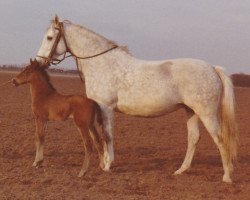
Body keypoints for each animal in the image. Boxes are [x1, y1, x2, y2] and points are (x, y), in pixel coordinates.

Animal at [35, 14, 238, 182]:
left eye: (50, 37)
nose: (38, 62)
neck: (102, 63)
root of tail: (212, 68)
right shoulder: (100, 109)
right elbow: (102, 136)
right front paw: (104, 163)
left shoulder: (106, 107)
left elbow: (107, 135)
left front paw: (108, 165)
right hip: (191, 111)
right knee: (193, 138)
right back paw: (181, 170)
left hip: (207, 114)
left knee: (220, 139)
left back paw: (227, 176)